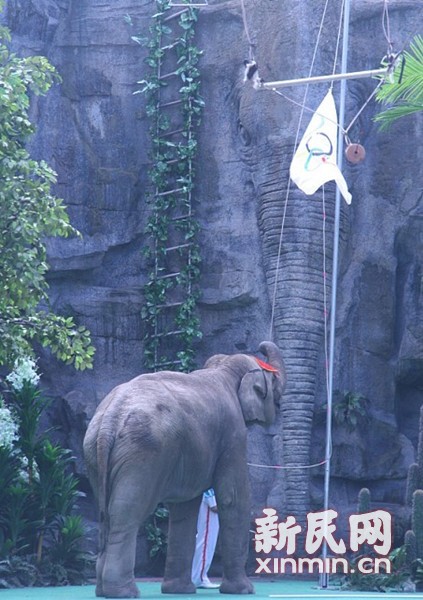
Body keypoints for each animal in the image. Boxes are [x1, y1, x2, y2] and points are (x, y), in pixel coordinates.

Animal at [83, 340, 286, 596]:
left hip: (94, 453)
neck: (224, 368)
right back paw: (124, 592)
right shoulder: (233, 433)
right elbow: (232, 498)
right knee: (126, 514)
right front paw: (243, 590)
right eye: (274, 381)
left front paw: (179, 590)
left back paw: (103, 591)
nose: (260, 345)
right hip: (141, 452)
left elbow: (185, 507)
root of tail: (109, 420)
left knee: (108, 515)